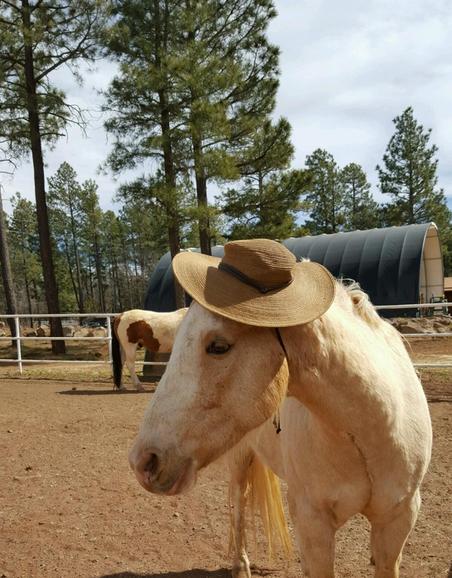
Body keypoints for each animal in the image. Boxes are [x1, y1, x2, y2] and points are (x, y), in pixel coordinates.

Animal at [130, 282, 430, 572]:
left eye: (218, 346)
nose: (143, 461)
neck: (369, 433)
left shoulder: (398, 519)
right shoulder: (313, 525)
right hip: (240, 459)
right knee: (238, 503)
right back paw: (241, 565)